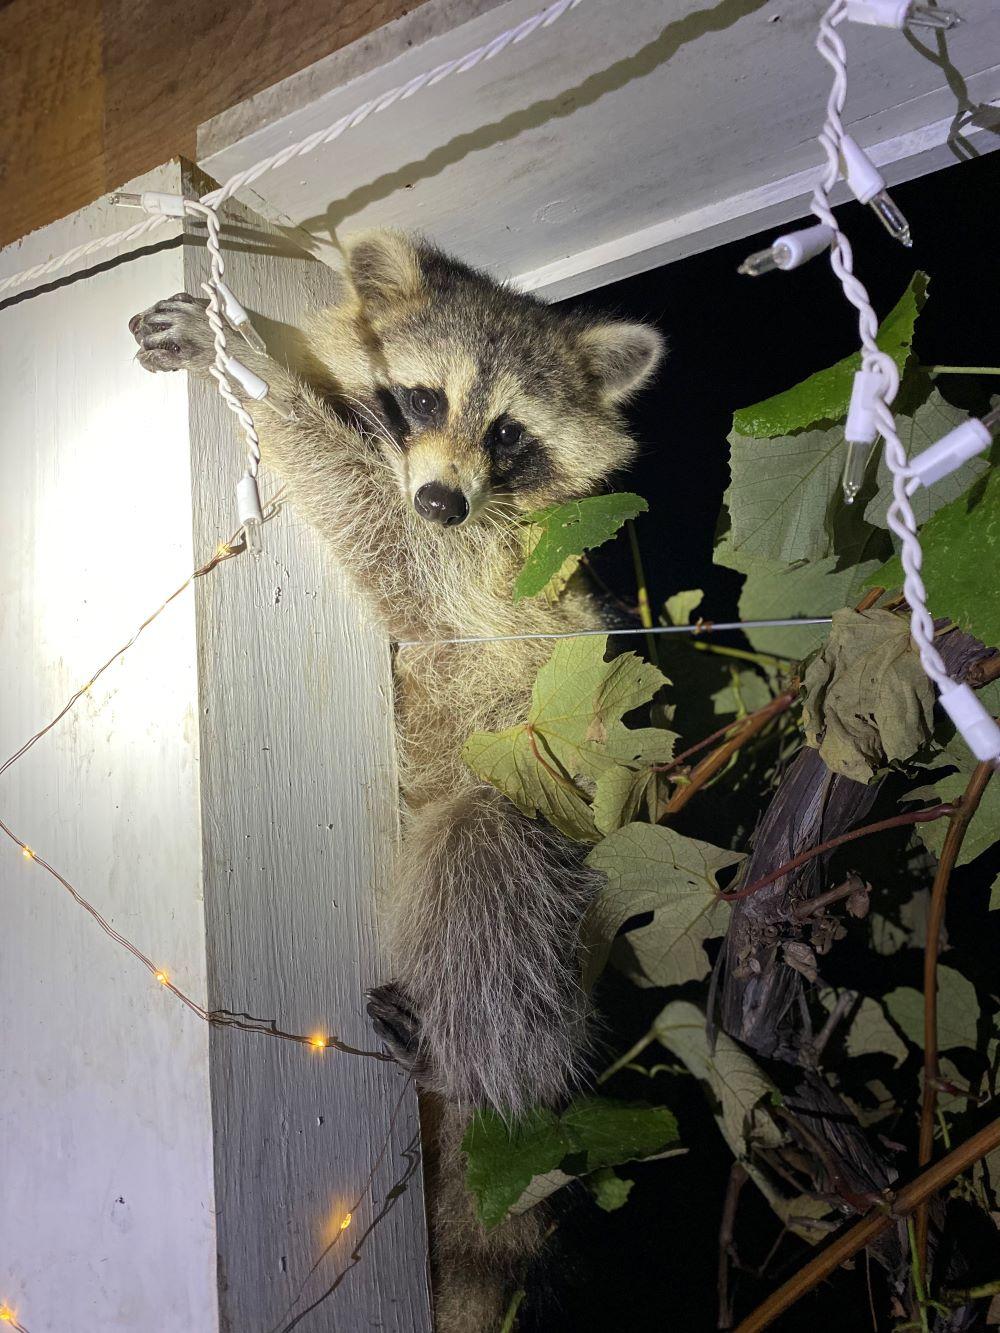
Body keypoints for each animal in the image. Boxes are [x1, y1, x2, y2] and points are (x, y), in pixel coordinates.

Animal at [131, 234, 666, 1327]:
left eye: (508, 433)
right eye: (423, 398)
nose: (444, 499)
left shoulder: (491, 575)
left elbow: (396, 544)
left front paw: (265, 378)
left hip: (528, 833)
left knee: (488, 872)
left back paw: (466, 1055)